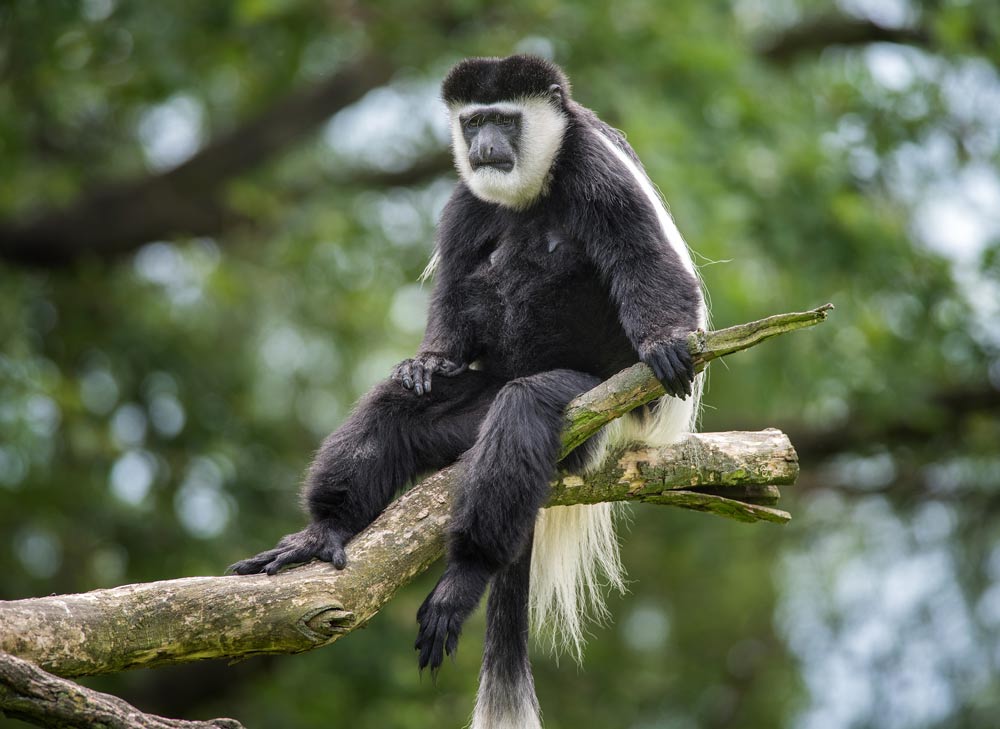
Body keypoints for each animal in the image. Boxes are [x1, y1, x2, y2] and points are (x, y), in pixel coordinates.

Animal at [230, 54, 708, 724]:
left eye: (504, 119)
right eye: (474, 121)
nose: (483, 147)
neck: (534, 187)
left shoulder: (596, 171)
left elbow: (643, 260)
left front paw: (664, 342)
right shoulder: (464, 199)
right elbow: (455, 285)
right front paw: (426, 361)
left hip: (595, 414)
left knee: (524, 409)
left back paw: (464, 576)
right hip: (469, 416)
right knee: (394, 412)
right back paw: (323, 531)